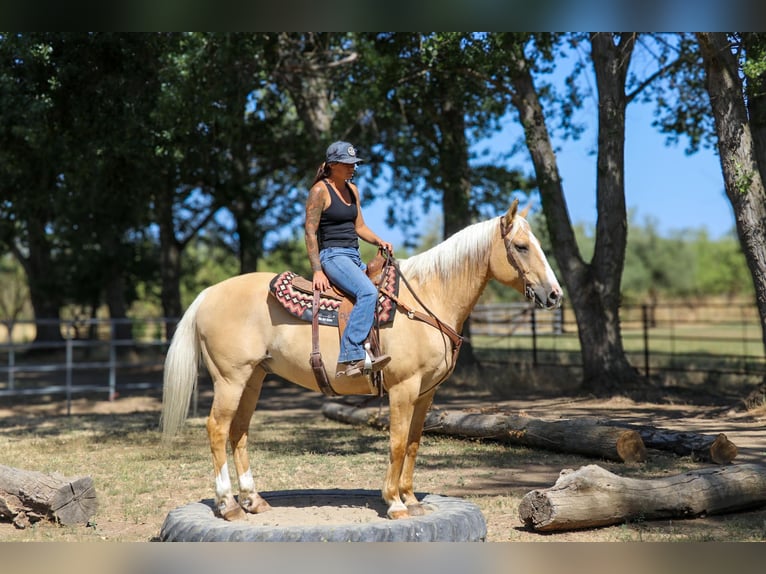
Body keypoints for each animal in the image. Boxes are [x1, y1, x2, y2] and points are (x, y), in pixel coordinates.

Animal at [160, 200, 564, 524]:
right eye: (522, 247)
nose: (554, 295)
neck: (425, 300)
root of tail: (209, 293)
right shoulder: (403, 388)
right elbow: (397, 443)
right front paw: (395, 504)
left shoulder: (426, 394)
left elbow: (414, 443)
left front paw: (411, 499)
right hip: (230, 378)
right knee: (217, 428)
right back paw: (228, 505)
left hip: (254, 377)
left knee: (239, 431)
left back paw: (253, 500)